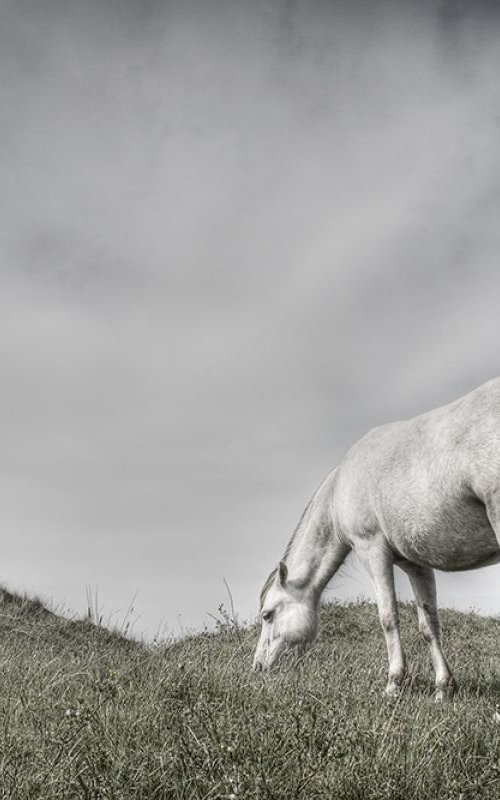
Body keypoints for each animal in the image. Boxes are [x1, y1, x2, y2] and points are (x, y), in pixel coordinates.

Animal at [252, 378, 500, 696]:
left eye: (268, 615)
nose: (258, 666)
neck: (339, 488)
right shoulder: (416, 564)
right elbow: (429, 624)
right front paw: (443, 687)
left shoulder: (372, 551)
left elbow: (388, 617)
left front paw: (394, 683)